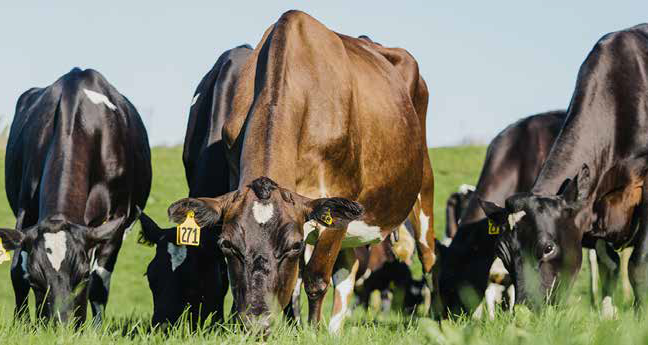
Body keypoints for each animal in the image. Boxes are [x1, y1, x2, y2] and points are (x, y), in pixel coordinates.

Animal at [0, 68, 151, 324]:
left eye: (82, 279)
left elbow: (99, 283)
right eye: (36, 283)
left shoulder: (116, 221)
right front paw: (23, 324)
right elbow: (17, 272)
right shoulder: (25, 211)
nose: (60, 326)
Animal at [166, 10, 436, 332]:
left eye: (294, 246)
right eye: (226, 245)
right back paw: (335, 330)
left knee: (429, 258)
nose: (258, 322)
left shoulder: (335, 203)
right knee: (348, 269)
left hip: (422, 186)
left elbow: (316, 279)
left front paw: (313, 331)